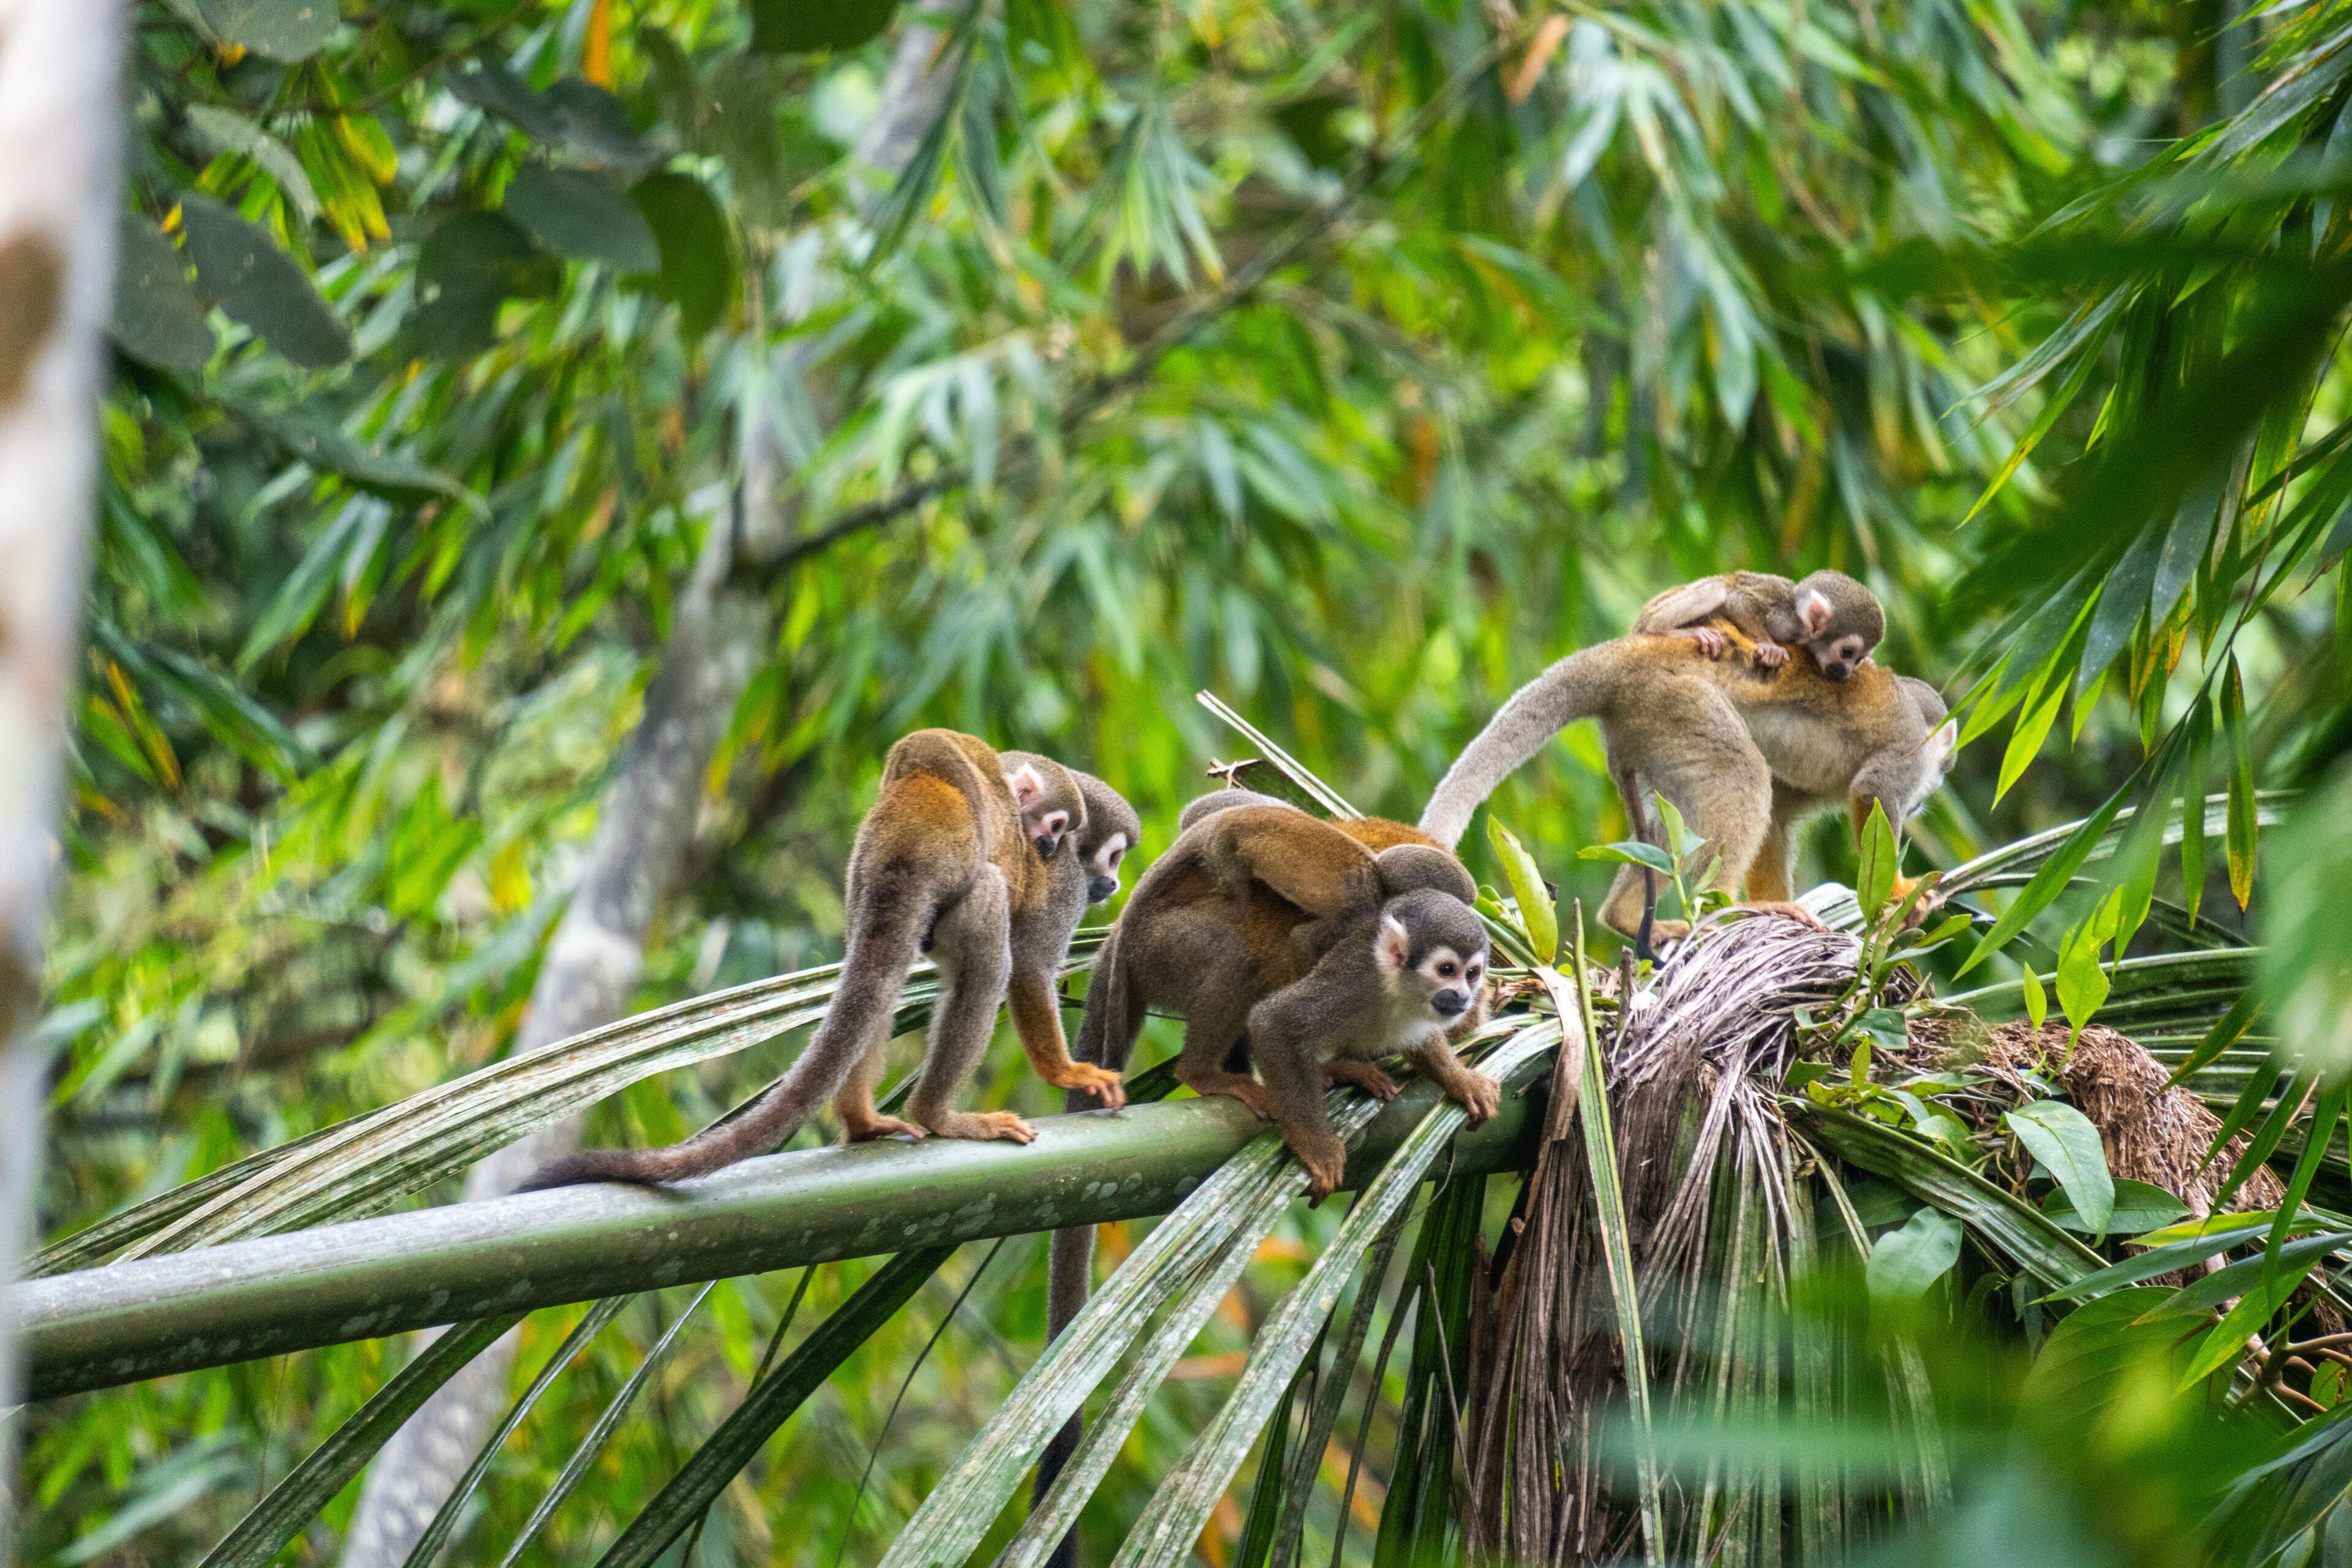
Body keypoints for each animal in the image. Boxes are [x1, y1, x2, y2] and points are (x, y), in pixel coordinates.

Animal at [519, 731, 1135, 1191]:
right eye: (1111, 858)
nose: (1112, 884)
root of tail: (903, 849)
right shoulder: (1065, 885)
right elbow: (1029, 966)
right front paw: (1066, 1071)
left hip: (862, 882)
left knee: (879, 978)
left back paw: (862, 1121)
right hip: (957, 882)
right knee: (986, 953)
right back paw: (938, 1114)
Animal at [1418, 631, 1954, 946]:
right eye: (1944, 769)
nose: (1927, 800)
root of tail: (1632, 652)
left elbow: (1780, 816)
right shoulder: (1907, 752)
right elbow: (1871, 791)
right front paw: (1899, 896)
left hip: (1646, 722)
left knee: (1669, 818)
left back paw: (1627, 917)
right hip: (1678, 699)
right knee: (1741, 775)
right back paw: (1726, 905)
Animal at [1632, 568, 1885, 680]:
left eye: (1857, 659)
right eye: (1846, 653)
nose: (1847, 673)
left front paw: (1870, 663)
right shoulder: (1786, 618)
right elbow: (1738, 602)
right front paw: (1770, 648)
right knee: (1717, 590)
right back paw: (1664, 629)